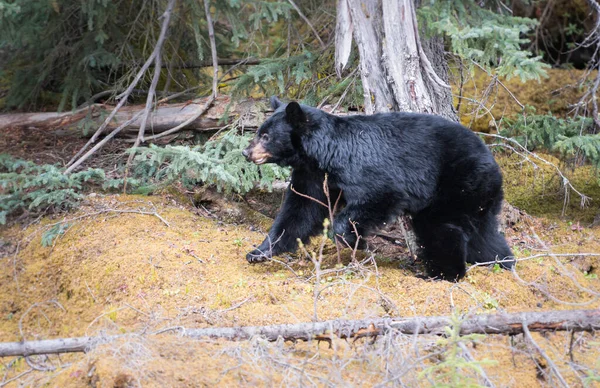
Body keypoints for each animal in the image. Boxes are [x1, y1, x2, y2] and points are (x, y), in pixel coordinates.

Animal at [241, 96, 512, 278]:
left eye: (265, 136)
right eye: (259, 131)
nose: (245, 152)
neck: (322, 153)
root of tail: (492, 161)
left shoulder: (363, 168)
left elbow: (380, 194)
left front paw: (356, 241)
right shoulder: (312, 175)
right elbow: (299, 211)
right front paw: (259, 252)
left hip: (458, 181)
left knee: (441, 227)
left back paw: (443, 274)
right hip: (476, 195)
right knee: (483, 234)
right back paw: (501, 262)